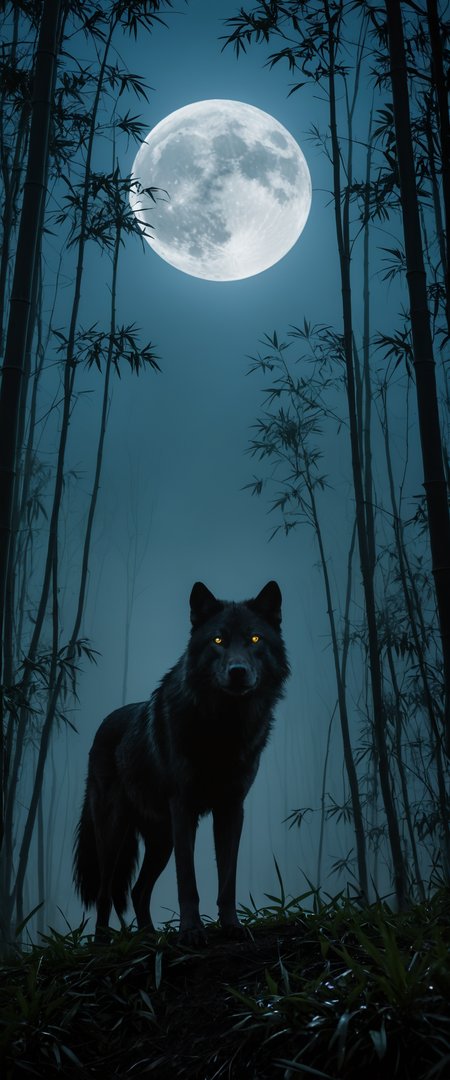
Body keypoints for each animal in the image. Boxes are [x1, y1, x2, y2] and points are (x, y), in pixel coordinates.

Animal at [73, 580, 289, 945]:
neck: (224, 729)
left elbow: (227, 879)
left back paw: (148, 937)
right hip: (116, 835)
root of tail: (102, 726)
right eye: (217, 640)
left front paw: (230, 926)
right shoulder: (183, 807)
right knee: (106, 892)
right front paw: (191, 931)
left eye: (255, 639)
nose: (238, 672)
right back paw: (103, 943)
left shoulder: (231, 809)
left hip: (162, 841)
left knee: (138, 891)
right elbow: (187, 880)